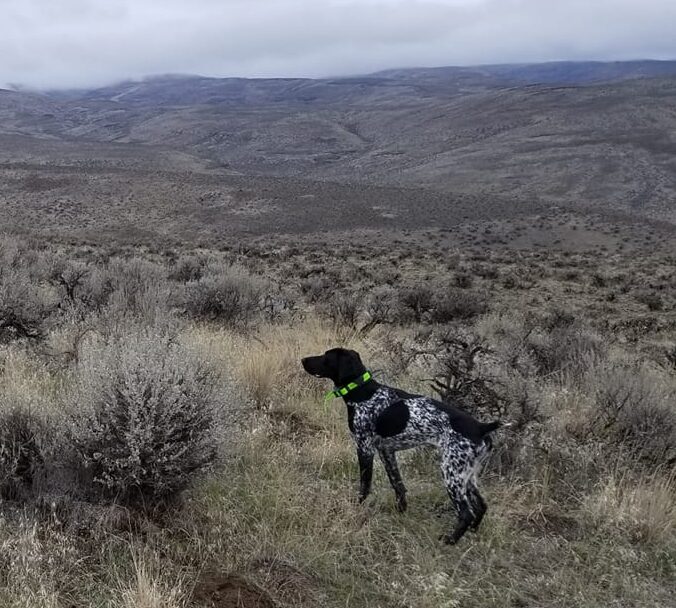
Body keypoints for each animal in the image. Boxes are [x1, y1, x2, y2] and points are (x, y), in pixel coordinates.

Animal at [304, 346, 500, 548]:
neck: (363, 392)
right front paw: (401, 510)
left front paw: (358, 506)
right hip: (467, 474)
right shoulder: (387, 452)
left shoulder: (364, 448)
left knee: (466, 512)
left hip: (451, 473)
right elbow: (397, 484)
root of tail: (481, 427)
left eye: (326, 357)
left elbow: (365, 484)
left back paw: (450, 540)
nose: (303, 360)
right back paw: (473, 532)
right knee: (481, 505)